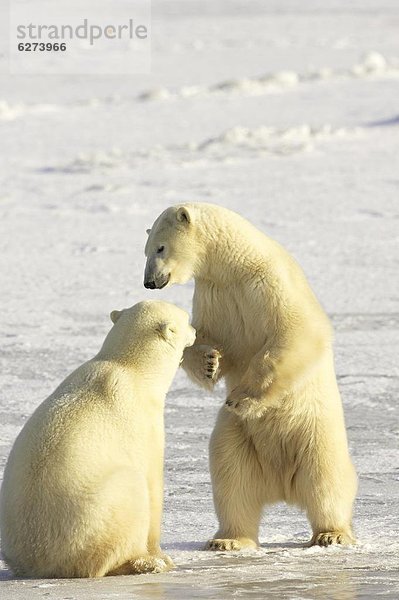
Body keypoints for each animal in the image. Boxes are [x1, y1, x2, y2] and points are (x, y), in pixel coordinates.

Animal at [0, 302, 196, 580]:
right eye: (187, 318)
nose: (196, 331)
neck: (129, 368)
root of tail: (40, 562)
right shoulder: (143, 421)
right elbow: (152, 483)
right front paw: (161, 556)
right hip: (92, 518)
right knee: (129, 494)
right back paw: (143, 563)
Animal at [145, 205, 358, 548]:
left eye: (160, 248)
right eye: (146, 249)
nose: (150, 281)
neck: (237, 266)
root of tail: (282, 486)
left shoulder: (270, 284)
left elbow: (296, 332)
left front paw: (243, 398)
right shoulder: (214, 294)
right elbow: (205, 335)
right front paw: (209, 362)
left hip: (316, 430)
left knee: (326, 477)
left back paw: (332, 534)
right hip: (237, 435)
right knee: (230, 475)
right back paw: (229, 539)